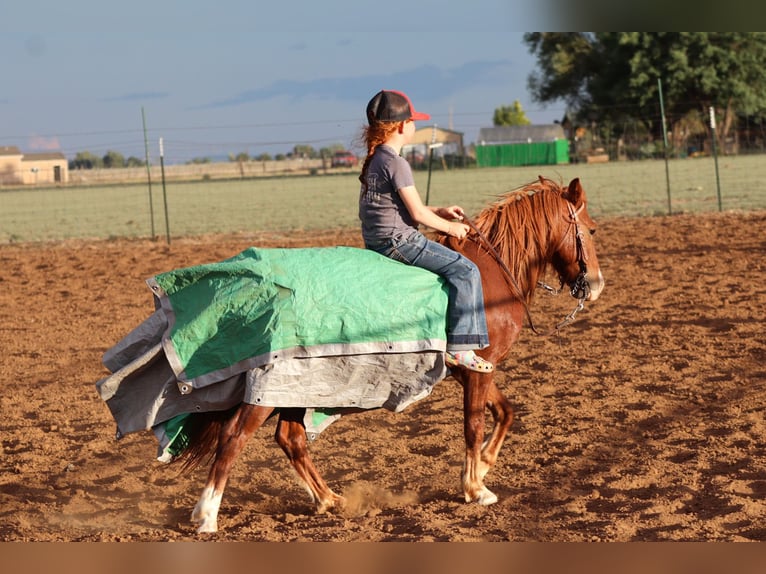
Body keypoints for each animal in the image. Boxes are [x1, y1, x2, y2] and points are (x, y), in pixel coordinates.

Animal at [176, 176, 604, 533]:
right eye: (591, 229)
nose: (596, 284)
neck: (490, 275)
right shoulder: (478, 370)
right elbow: (474, 425)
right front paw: (474, 487)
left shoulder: (478, 369)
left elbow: (506, 412)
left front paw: (482, 467)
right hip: (269, 393)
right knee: (234, 437)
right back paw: (206, 516)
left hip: (296, 391)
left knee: (290, 438)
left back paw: (328, 499)